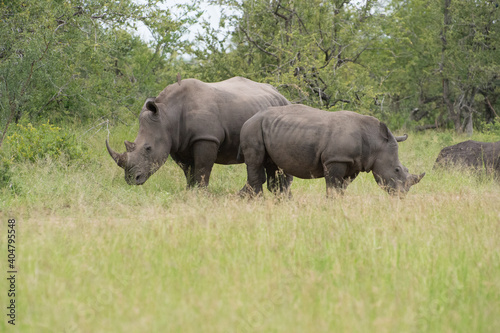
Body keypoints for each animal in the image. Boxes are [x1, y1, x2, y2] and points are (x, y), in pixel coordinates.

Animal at [240, 105, 424, 196]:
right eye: (397, 169)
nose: (402, 195)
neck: (375, 142)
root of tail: (250, 118)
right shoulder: (336, 159)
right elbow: (333, 186)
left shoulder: (353, 163)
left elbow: (342, 188)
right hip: (253, 128)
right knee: (255, 164)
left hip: (271, 129)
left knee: (274, 168)